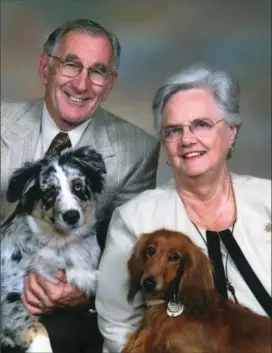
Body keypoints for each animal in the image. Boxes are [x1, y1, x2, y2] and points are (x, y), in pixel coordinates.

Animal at [0, 144, 105, 350]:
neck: (59, 243)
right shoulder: (8, 297)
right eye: (49, 193)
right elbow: (36, 328)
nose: (71, 216)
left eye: (77, 186)